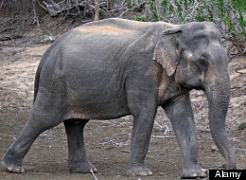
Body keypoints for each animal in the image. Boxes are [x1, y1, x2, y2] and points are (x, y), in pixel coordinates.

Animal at [2, 17, 236, 178]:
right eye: (202, 61)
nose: (226, 166)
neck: (175, 29)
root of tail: (47, 52)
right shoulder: (141, 71)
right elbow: (145, 113)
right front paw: (141, 174)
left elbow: (183, 116)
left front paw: (195, 174)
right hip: (55, 83)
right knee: (43, 118)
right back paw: (12, 167)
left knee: (75, 124)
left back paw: (85, 170)